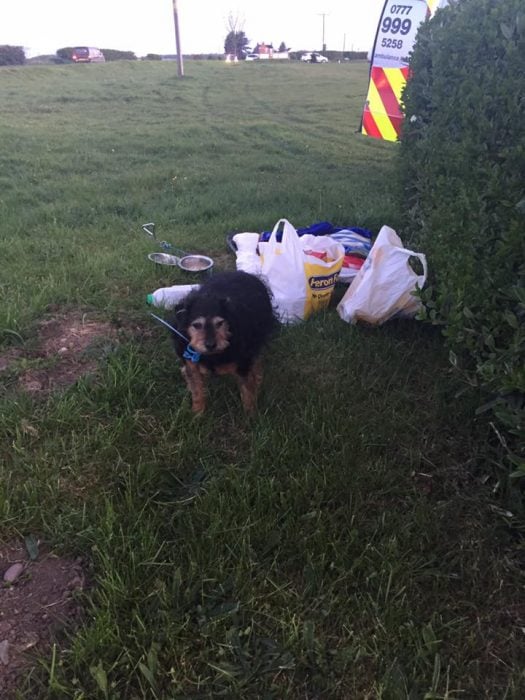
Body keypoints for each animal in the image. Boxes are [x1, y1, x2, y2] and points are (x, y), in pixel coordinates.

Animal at [172, 272, 276, 416]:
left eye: (220, 323)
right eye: (197, 325)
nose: (210, 345)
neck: (213, 356)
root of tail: (246, 274)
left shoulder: (243, 364)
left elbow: (247, 391)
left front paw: (251, 416)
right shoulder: (191, 364)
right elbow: (197, 391)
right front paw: (197, 414)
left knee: (257, 361)